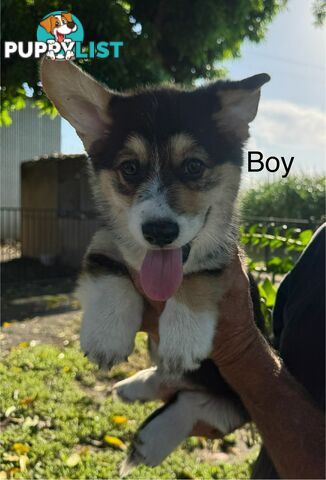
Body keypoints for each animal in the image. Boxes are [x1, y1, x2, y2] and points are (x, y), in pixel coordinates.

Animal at [40, 59, 270, 472]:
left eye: (194, 166)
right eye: (130, 168)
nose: (160, 232)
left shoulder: (227, 258)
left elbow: (197, 278)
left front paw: (183, 336)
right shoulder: (105, 240)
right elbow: (108, 267)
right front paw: (106, 336)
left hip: (237, 396)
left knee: (203, 403)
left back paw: (152, 437)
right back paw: (135, 384)